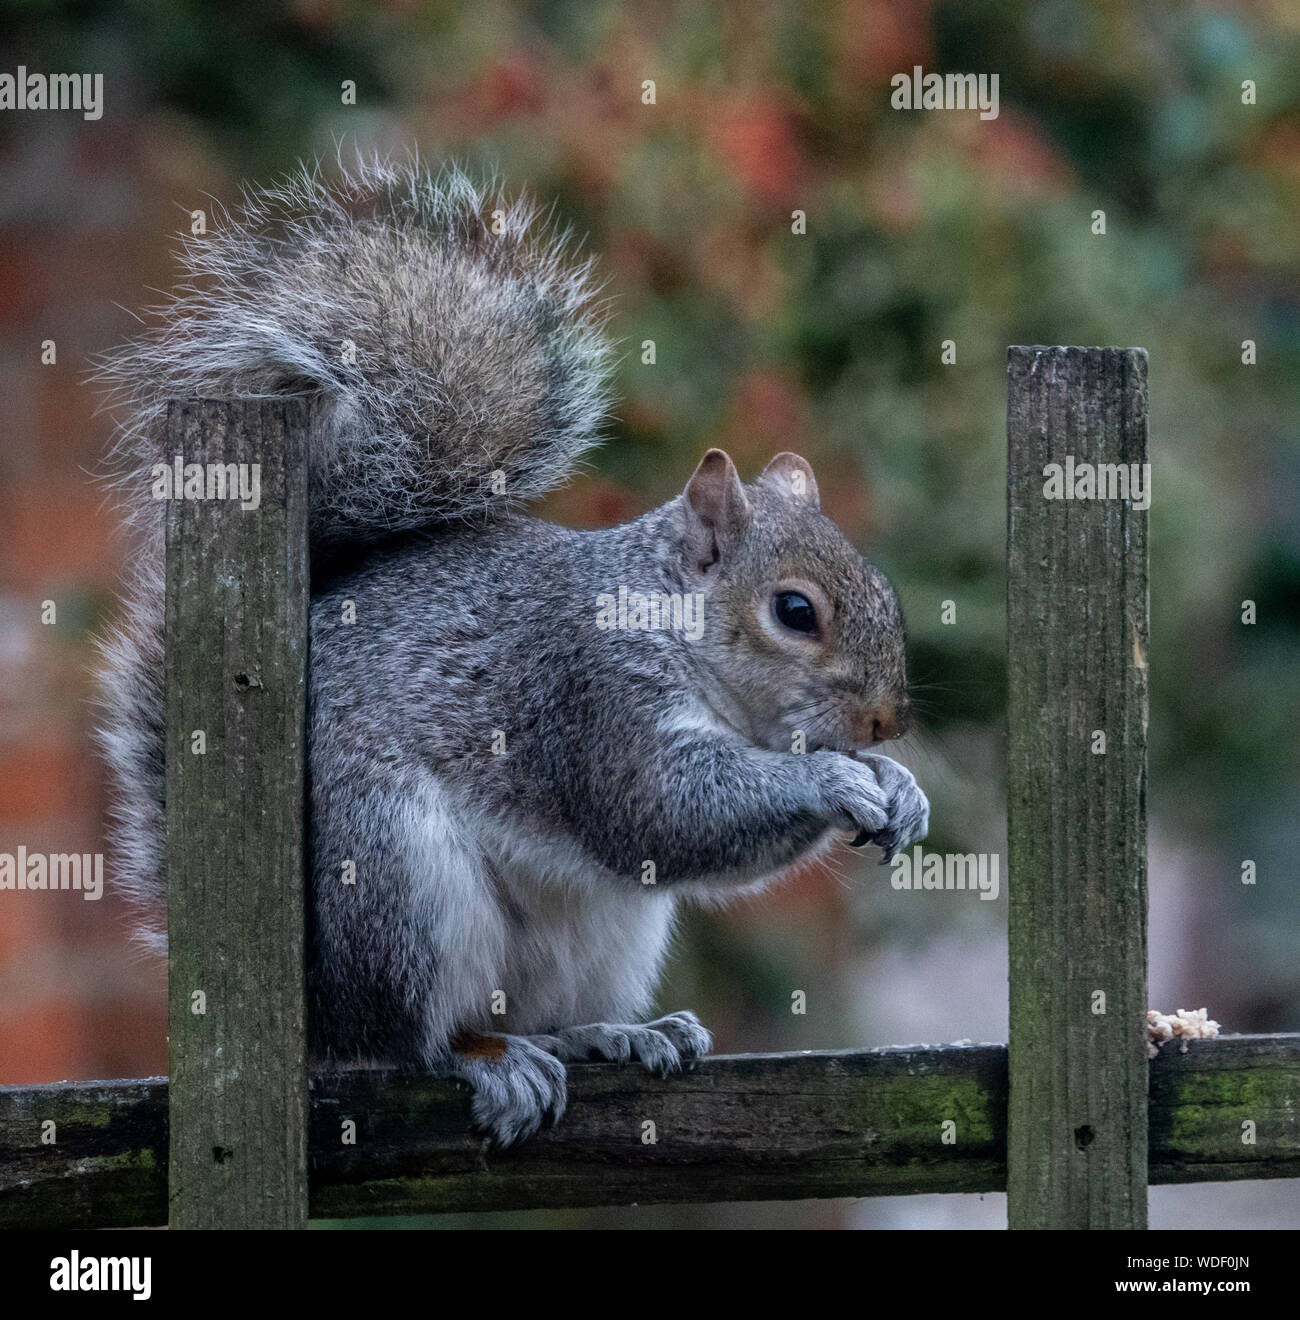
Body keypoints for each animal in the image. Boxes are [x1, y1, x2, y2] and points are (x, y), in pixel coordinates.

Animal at [96, 157, 930, 1147]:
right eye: (794, 611)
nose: (886, 721)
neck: (666, 623)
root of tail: (315, 1008)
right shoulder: (589, 696)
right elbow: (665, 811)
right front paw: (832, 779)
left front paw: (902, 789)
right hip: (397, 876)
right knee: (408, 1038)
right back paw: (485, 1059)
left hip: (609, 936)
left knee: (544, 1015)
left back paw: (620, 1032)